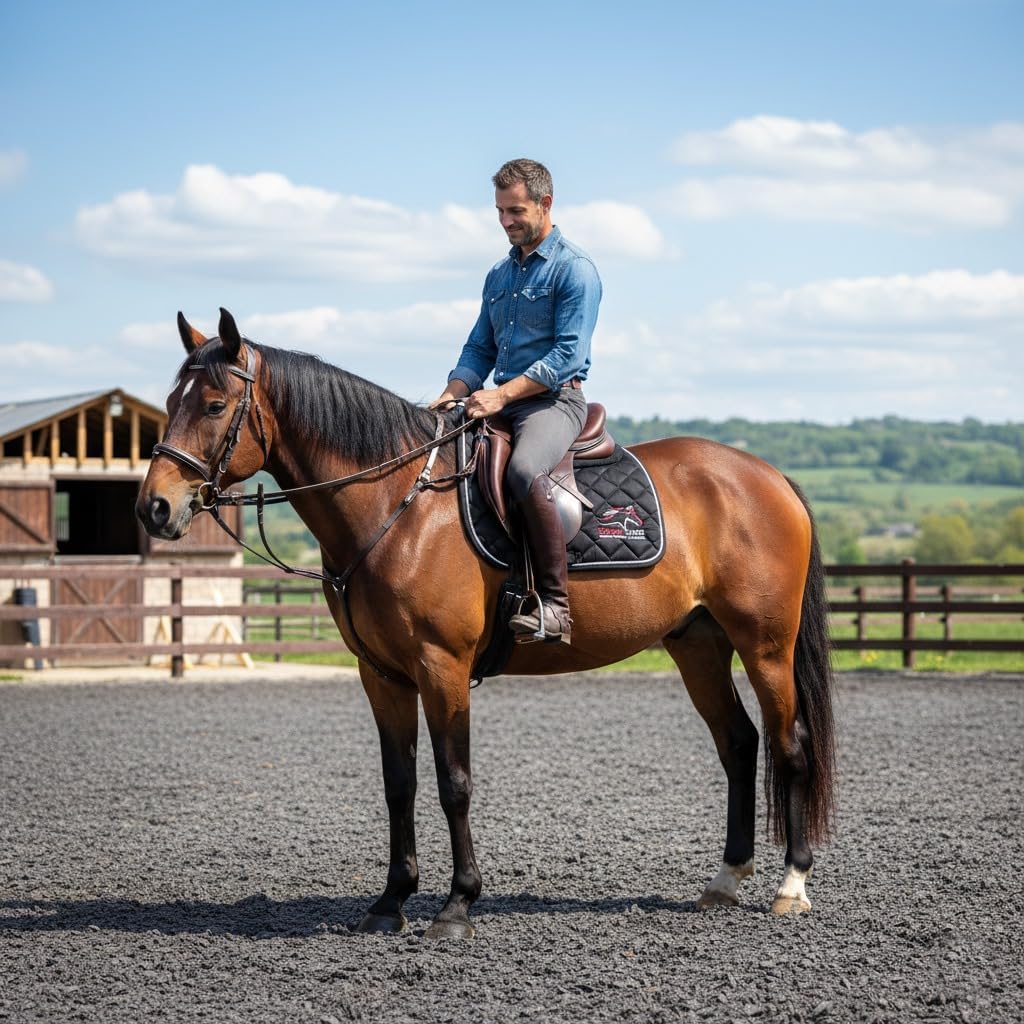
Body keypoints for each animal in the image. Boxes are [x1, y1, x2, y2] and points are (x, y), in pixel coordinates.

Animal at [137, 308, 836, 939]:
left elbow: (454, 783)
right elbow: (399, 784)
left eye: (215, 405)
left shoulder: (441, 665)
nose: (155, 508)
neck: (398, 505)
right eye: (171, 401)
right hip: (698, 645)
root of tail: (767, 475)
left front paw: (456, 906)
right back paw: (725, 880)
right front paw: (389, 903)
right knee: (739, 743)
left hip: (764, 644)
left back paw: (791, 886)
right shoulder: (382, 674)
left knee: (789, 744)